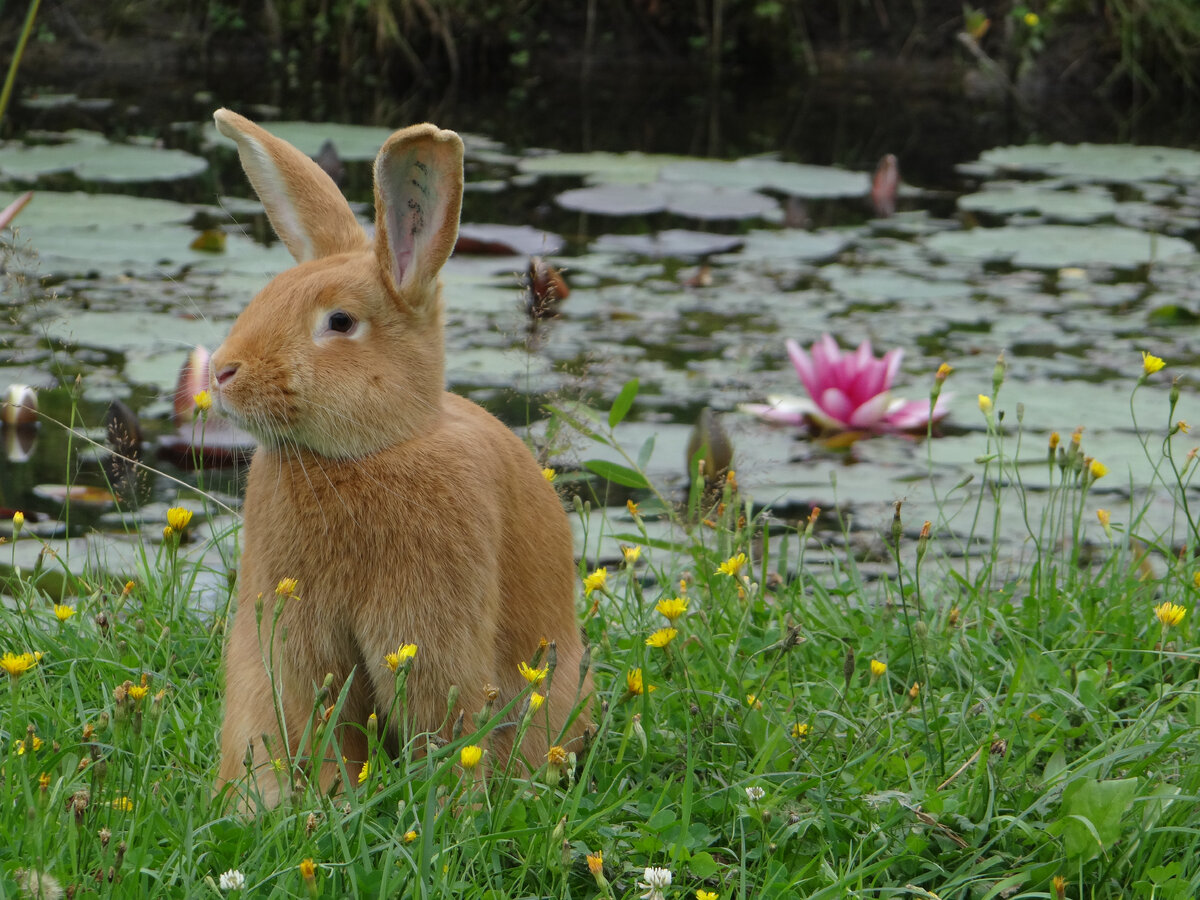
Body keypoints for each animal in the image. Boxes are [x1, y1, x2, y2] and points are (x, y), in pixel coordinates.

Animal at [212, 111, 595, 811]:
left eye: (339, 322)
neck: (373, 451)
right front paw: (308, 802)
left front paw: (450, 809)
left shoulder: (428, 632)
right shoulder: (291, 642)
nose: (222, 372)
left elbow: (439, 721)